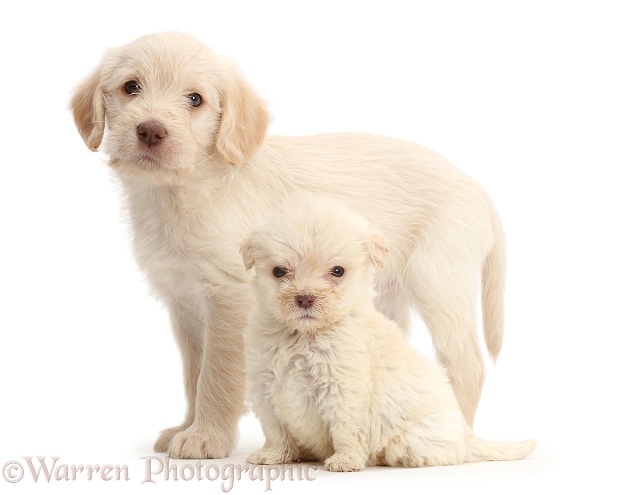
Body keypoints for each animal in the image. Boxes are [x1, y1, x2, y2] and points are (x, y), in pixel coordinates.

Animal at [72, 31, 508, 460]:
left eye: (195, 99)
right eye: (131, 87)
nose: (150, 130)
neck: (187, 189)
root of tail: (476, 187)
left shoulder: (228, 297)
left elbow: (215, 374)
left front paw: (206, 437)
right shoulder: (185, 304)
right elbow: (194, 373)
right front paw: (187, 427)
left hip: (439, 284)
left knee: (467, 364)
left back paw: (459, 437)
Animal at [241, 194, 532, 472]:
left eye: (337, 271)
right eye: (279, 271)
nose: (304, 298)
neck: (302, 335)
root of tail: (466, 434)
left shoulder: (343, 390)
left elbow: (345, 429)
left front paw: (347, 460)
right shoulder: (264, 387)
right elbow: (275, 430)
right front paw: (273, 455)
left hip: (417, 436)